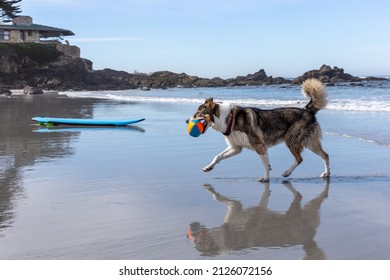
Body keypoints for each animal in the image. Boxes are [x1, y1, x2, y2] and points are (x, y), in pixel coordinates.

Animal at [187, 78, 330, 182]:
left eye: (198, 113)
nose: (187, 121)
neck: (229, 119)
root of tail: (307, 110)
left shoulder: (259, 146)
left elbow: (265, 165)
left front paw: (265, 178)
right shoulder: (235, 148)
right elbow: (217, 156)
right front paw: (208, 167)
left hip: (292, 140)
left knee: (300, 159)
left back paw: (287, 173)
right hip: (309, 142)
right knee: (325, 155)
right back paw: (326, 173)